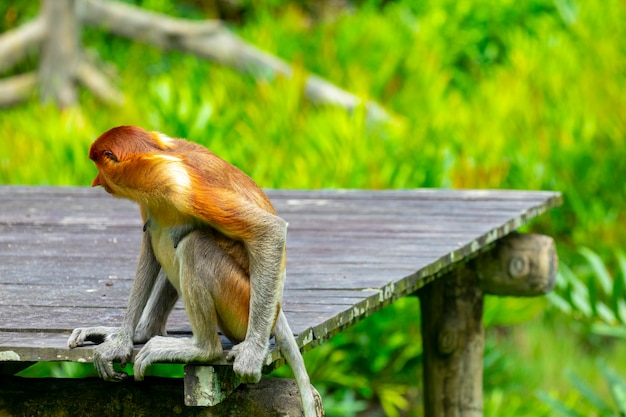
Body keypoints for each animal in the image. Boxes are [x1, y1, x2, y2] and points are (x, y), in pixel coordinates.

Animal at [68, 125, 316, 414]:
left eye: (99, 166)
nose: (95, 180)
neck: (155, 155)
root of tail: (276, 312)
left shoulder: (180, 184)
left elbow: (269, 231)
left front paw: (251, 358)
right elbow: (148, 244)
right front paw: (120, 340)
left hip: (241, 305)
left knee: (192, 244)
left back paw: (203, 350)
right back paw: (145, 332)